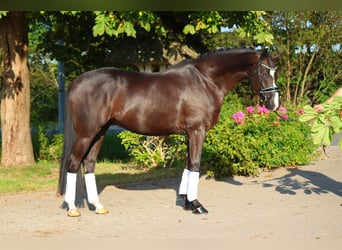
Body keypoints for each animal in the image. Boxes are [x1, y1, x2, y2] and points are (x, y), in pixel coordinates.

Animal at [57, 47, 280, 216]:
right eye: (263, 73)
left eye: (275, 73)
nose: (274, 104)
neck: (205, 80)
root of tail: (76, 82)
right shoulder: (197, 131)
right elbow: (196, 164)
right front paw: (197, 205)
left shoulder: (190, 133)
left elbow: (188, 164)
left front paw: (187, 202)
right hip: (86, 133)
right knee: (73, 163)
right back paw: (73, 208)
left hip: (100, 132)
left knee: (89, 163)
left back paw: (98, 206)